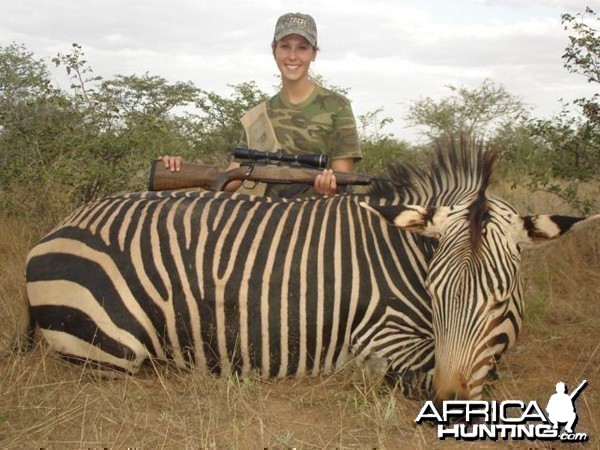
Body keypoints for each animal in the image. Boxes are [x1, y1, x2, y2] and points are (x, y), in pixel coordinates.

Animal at [23, 143, 592, 400]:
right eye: (434, 292)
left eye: (502, 298)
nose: (447, 402)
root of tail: (55, 231)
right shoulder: (381, 339)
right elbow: (459, 372)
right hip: (112, 350)